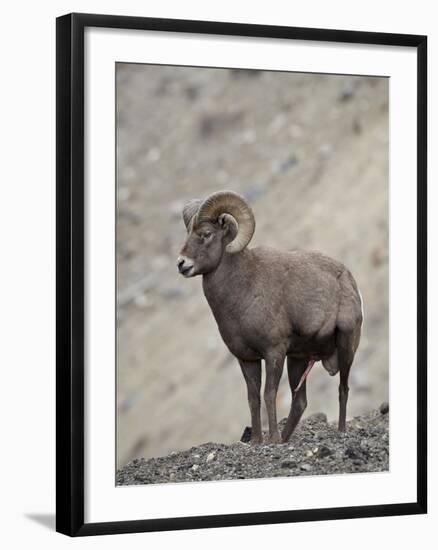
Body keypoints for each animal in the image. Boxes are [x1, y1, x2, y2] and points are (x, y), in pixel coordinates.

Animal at [176, 192, 362, 446]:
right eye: (188, 233)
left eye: (206, 234)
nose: (181, 264)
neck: (243, 291)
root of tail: (349, 279)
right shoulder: (247, 359)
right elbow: (253, 397)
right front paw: (256, 440)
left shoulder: (274, 353)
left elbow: (269, 393)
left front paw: (271, 439)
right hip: (298, 359)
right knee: (300, 402)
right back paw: (284, 439)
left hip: (345, 347)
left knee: (343, 389)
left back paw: (339, 431)